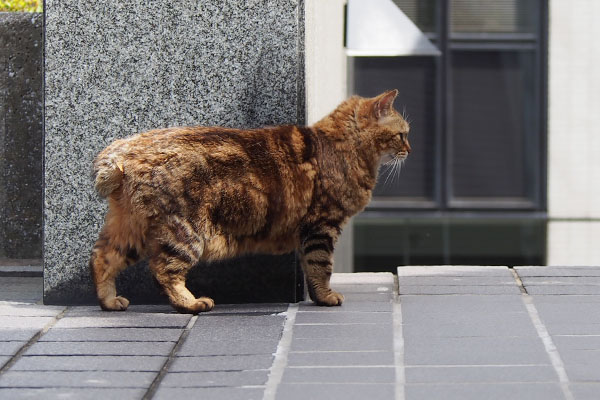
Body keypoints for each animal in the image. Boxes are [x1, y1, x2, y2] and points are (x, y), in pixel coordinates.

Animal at [89, 89, 410, 314]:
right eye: (402, 134)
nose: (410, 148)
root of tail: (118, 154)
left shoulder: (311, 231)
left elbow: (311, 267)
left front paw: (318, 298)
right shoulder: (322, 225)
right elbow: (321, 265)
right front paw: (326, 297)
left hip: (130, 231)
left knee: (101, 258)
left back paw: (110, 302)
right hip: (185, 232)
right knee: (163, 270)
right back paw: (191, 304)